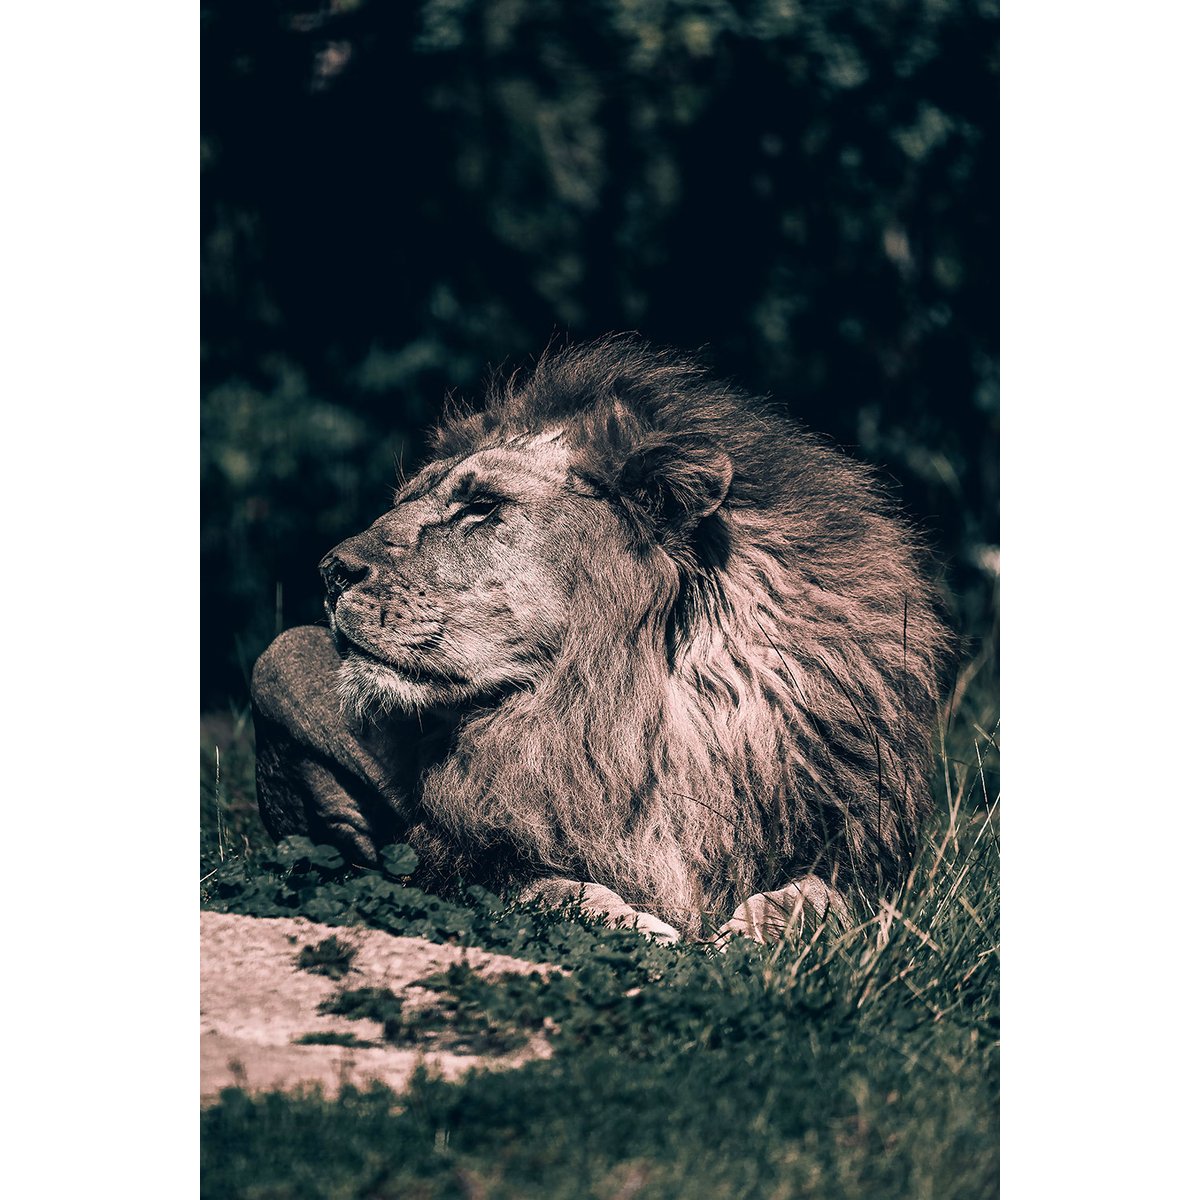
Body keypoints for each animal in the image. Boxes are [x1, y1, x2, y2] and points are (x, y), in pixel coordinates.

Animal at [251, 338, 950, 943]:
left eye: (480, 507)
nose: (330, 570)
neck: (629, 713)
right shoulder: (455, 856)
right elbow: (545, 887)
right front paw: (640, 926)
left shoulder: (862, 850)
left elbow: (825, 897)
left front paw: (754, 932)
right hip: (275, 661)